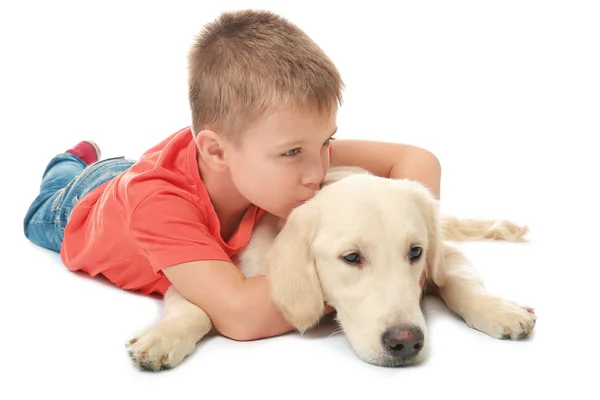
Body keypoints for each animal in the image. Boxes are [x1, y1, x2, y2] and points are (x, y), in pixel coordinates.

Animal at [125, 166, 536, 372]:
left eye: (416, 252)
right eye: (351, 258)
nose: (406, 343)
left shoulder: (443, 255)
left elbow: (460, 282)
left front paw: (500, 309)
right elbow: (194, 310)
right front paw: (162, 338)